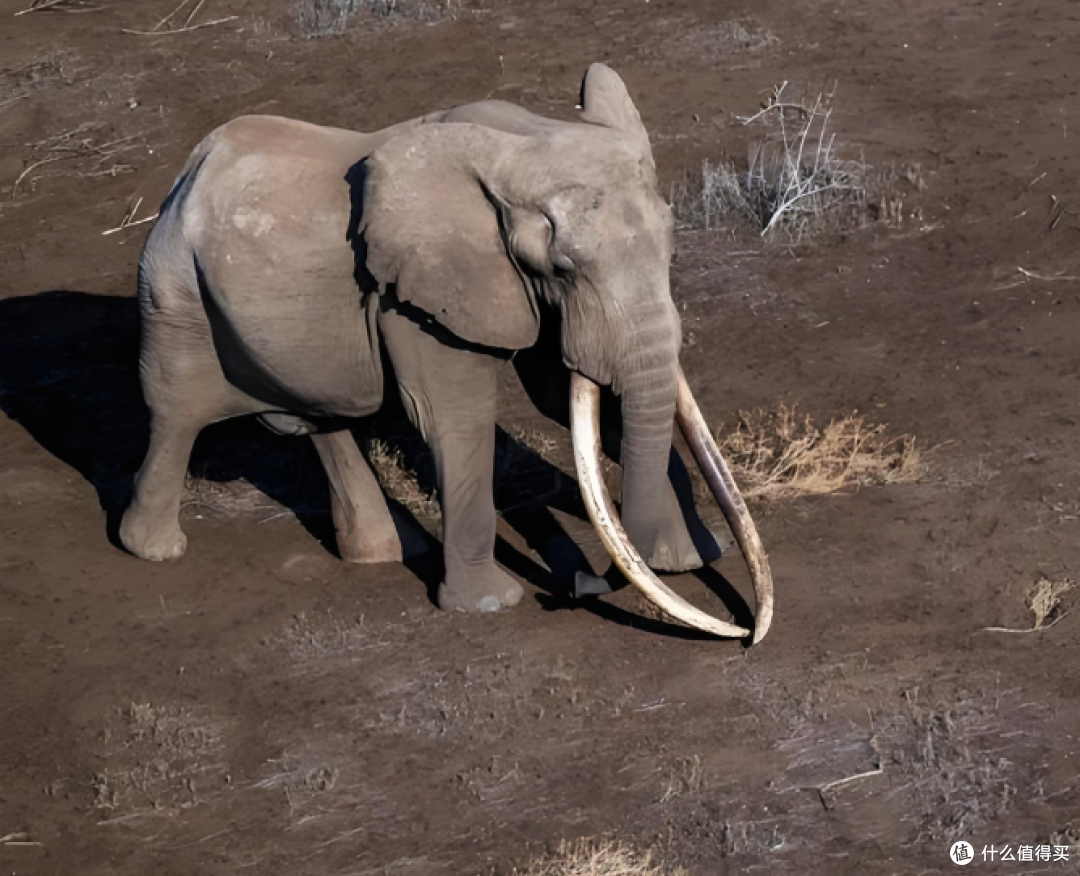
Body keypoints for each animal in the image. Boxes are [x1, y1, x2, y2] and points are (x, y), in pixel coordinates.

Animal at [118, 63, 773, 641]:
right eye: (563, 267)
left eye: (672, 244)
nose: (580, 583)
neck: (523, 136)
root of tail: (188, 172)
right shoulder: (418, 290)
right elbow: (453, 416)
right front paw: (489, 605)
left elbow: (573, 398)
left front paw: (684, 561)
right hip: (173, 290)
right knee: (176, 413)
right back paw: (151, 549)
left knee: (325, 419)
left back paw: (386, 552)